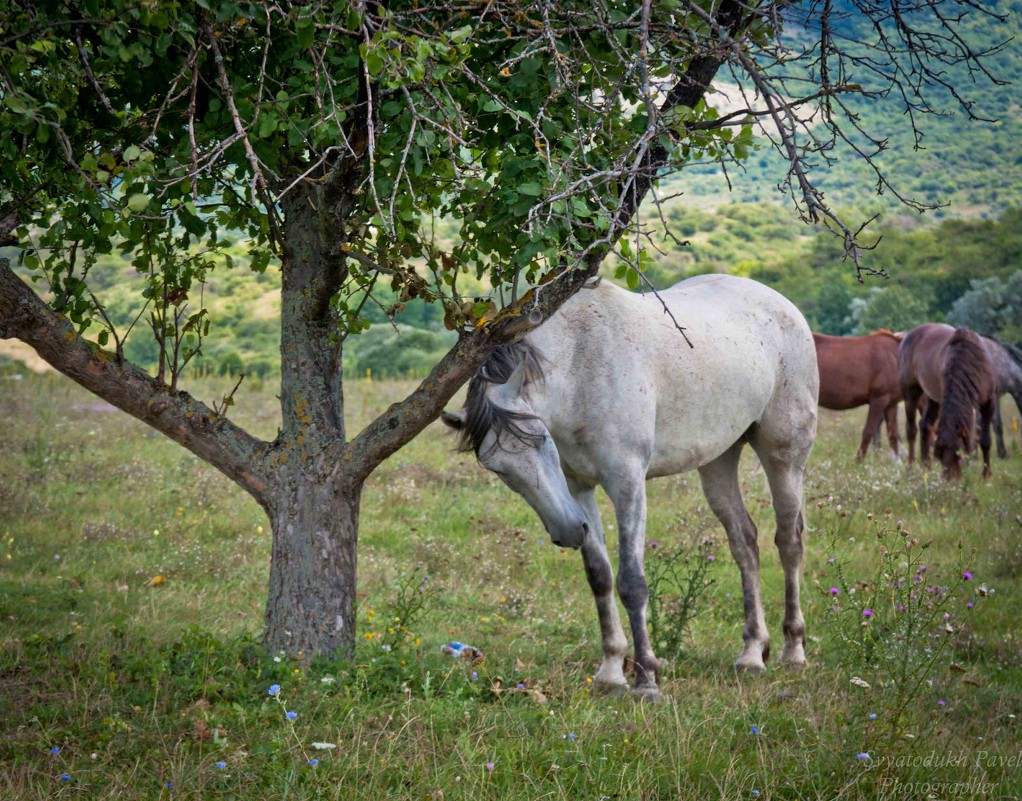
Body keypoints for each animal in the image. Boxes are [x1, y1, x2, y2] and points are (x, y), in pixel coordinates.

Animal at [443, 271, 817, 698]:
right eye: (497, 469)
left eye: (540, 440)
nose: (568, 531)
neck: (582, 363)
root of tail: (782, 305)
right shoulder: (578, 489)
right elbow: (600, 577)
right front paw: (610, 672)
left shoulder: (627, 483)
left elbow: (632, 582)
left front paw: (646, 680)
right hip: (718, 462)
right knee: (745, 543)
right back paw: (752, 653)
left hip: (785, 458)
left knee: (789, 542)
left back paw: (793, 649)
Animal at [899, 322, 993, 478]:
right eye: (940, 456)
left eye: (959, 454)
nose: (949, 481)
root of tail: (908, 335)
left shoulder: (989, 403)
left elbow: (984, 440)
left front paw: (986, 476)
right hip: (910, 394)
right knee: (911, 429)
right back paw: (911, 467)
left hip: (932, 398)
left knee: (925, 424)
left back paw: (926, 467)